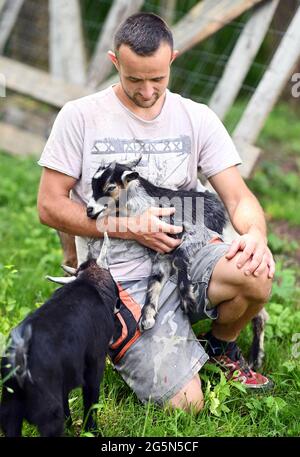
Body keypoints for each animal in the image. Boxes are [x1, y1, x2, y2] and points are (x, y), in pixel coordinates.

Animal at [0, 233, 119, 436]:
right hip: (49, 416)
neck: (89, 282)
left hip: (10, 412)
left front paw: (71, 424)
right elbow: (91, 401)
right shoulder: (95, 365)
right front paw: (92, 430)